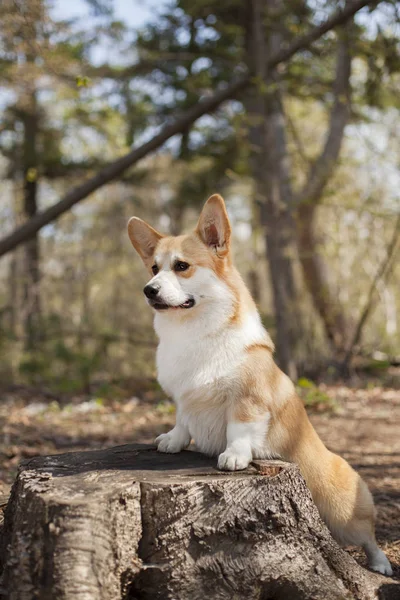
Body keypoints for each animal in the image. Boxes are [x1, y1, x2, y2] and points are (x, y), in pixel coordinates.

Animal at [129, 193, 394, 576]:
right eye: (153, 268)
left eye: (181, 266)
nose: (149, 291)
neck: (193, 331)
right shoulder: (183, 398)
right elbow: (183, 420)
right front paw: (172, 441)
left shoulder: (248, 399)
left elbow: (240, 427)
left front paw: (234, 455)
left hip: (345, 510)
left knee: (369, 537)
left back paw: (382, 564)